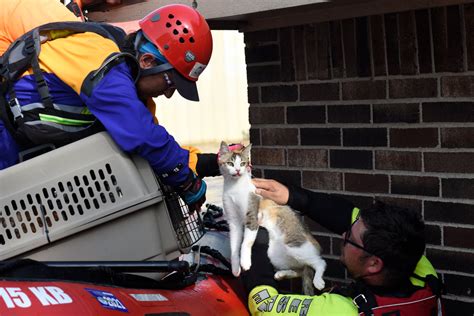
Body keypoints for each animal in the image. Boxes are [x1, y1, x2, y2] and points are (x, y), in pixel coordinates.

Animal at [218, 141, 326, 294]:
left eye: (243, 163)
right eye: (230, 163)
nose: (238, 170)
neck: (234, 187)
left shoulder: (253, 215)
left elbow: (246, 242)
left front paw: (245, 262)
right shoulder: (233, 222)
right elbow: (234, 245)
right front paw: (235, 268)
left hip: (296, 245)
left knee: (319, 262)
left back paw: (318, 281)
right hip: (275, 254)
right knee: (300, 269)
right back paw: (282, 274)